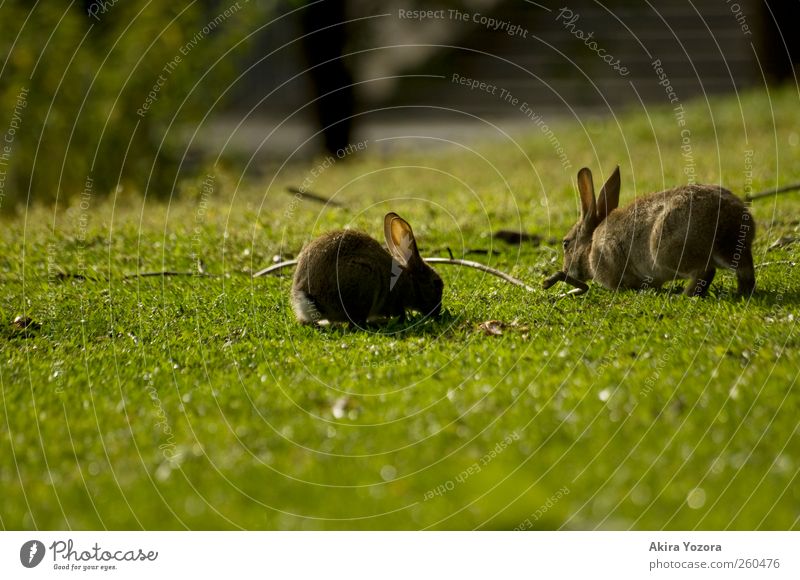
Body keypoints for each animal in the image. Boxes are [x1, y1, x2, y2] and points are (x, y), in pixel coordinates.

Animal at [292, 212, 444, 326]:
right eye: (436, 283)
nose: (438, 312)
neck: (411, 280)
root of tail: (307, 296)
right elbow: (399, 313)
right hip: (365, 278)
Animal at [544, 167, 756, 294]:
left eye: (566, 243)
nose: (565, 270)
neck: (589, 248)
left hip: (667, 251)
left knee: (705, 272)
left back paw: (683, 295)